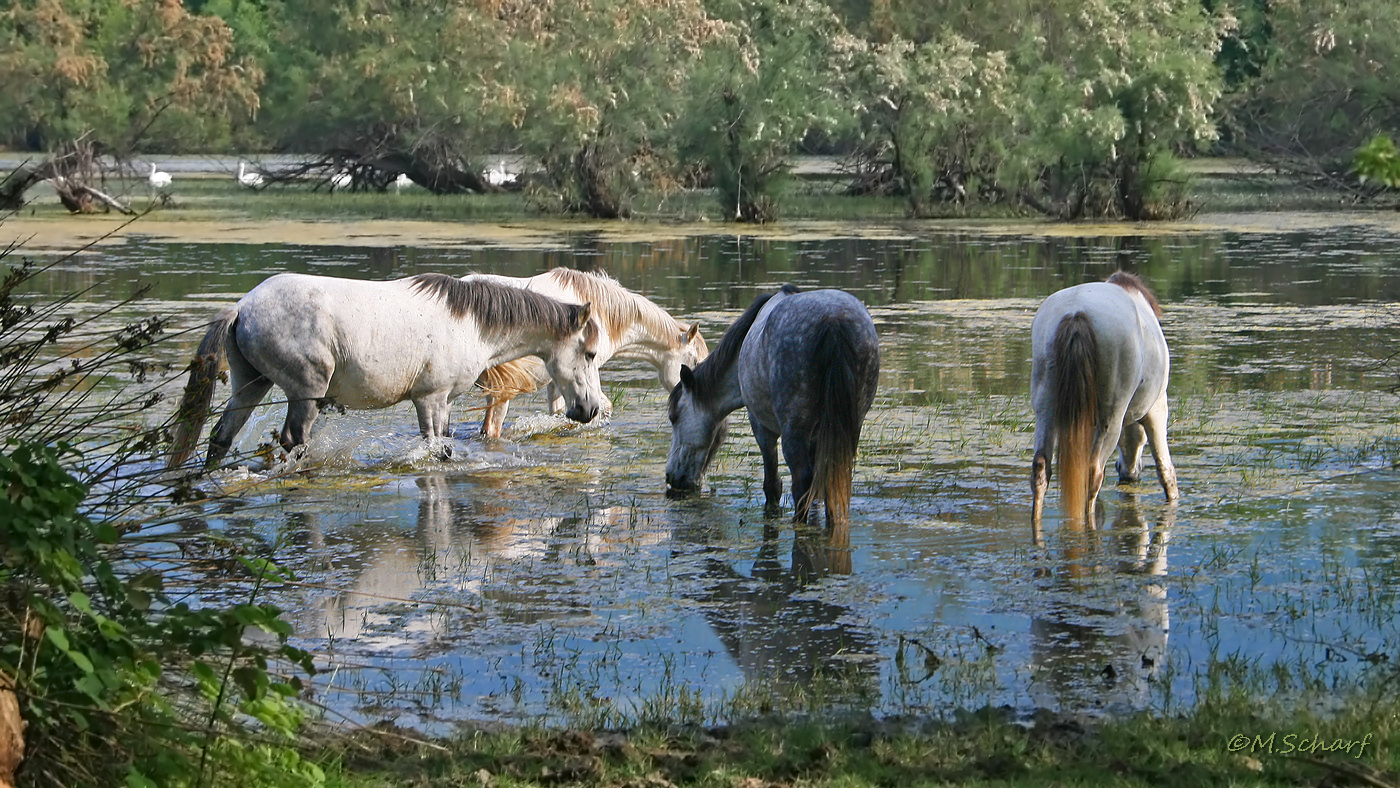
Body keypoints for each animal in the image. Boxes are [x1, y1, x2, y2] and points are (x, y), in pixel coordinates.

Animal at [166, 272, 604, 467]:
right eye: (590, 354)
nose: (590, 410)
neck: (470, 322)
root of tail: (243, 307)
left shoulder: (442, 402)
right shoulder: (430, 399)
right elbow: (438, 449)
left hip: (250, 385)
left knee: (221, 437)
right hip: (305, 393)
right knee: (293, 440)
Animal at [663, 286, 879, 526]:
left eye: (674, 416)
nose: (671, 477)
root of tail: (834, 320)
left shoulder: (761, 428)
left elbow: (772, 486)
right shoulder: (817, 437)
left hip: (793, 432)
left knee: (801, 481)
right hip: (849, 428)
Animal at [1030, 268, 1181, 534]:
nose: (1129, 473)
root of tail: (1076, 312)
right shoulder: (1156, 410)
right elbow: (1166, 471)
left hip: (1045, 409)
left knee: (1041, 468)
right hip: (1111, 417)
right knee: (1093, 473)